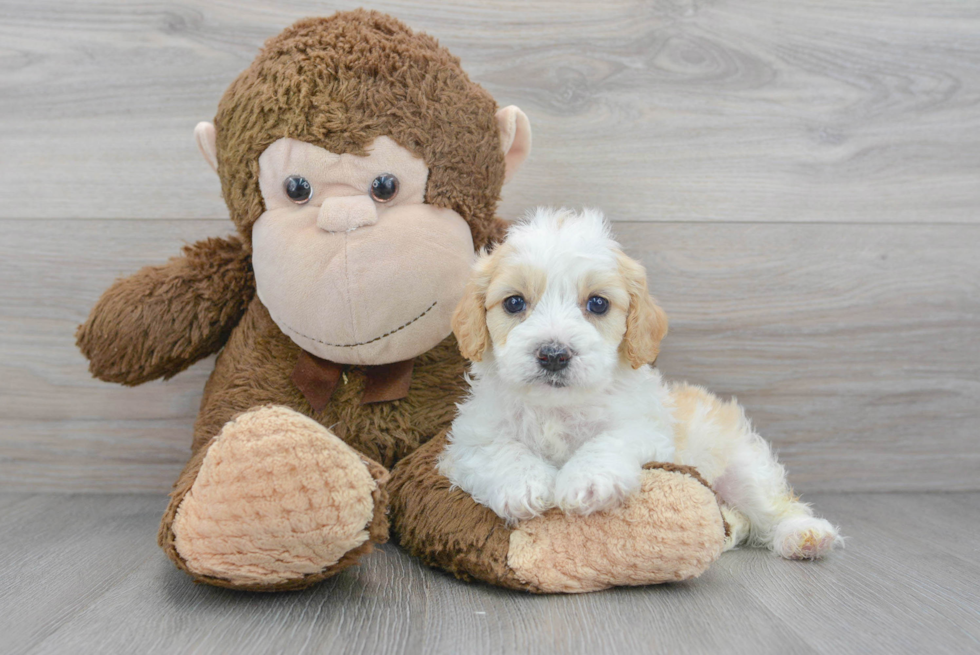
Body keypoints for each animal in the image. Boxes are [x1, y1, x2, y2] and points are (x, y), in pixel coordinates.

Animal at [438, 209, 844, 560]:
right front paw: (523, 484)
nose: (553, 354)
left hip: (744, 467)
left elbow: (609, 440)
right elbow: (500, 451)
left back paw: (804, 534)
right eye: (514, 303)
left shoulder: (646, 428)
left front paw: (588, 480)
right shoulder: (469, 441)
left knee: (774, 506)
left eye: (598, 304)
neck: (557, 407)